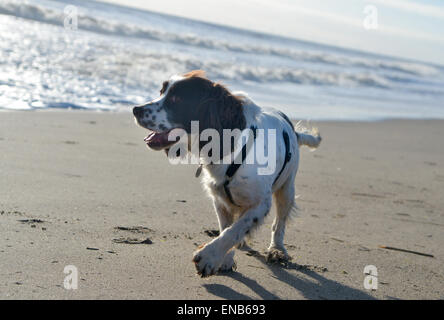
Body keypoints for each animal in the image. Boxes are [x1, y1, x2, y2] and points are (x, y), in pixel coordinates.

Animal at [131, 70, 320, 278]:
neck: (232, 149)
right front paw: (226, 259)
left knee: (279, 223)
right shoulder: (220, 200)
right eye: (161, 91)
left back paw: (277, 249)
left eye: (176, 99)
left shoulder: (261, 203)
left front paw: (209, 258)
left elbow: (234, 231)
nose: (135, 109)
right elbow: (227, 229)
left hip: (287, 189)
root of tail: (293, 129)